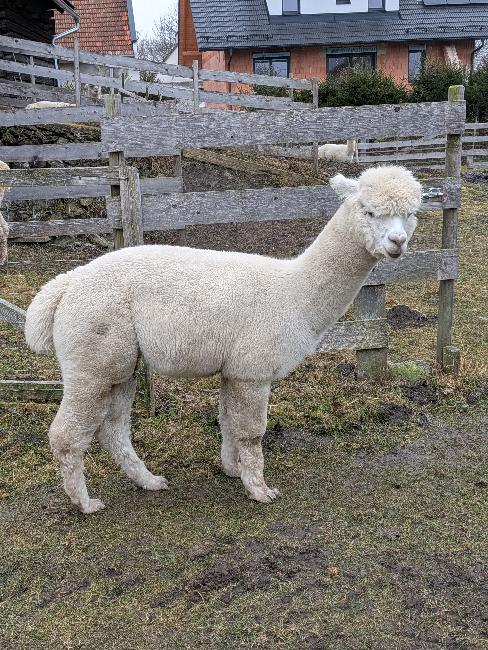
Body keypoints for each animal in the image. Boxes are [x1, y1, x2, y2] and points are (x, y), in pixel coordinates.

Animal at [25, 165, 422, 514]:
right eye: (369, 211)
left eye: (411, 214)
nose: (397, 243)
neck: (293, 292)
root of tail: (66, 284)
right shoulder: (252, 369)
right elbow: (251, 432)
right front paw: (260, 490)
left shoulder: (234, 369)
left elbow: (228, 421)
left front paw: (234, 470)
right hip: (92, 358)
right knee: (67, 434)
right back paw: (85, 503)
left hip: (121, 364)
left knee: (114, 428)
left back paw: (149, 481)